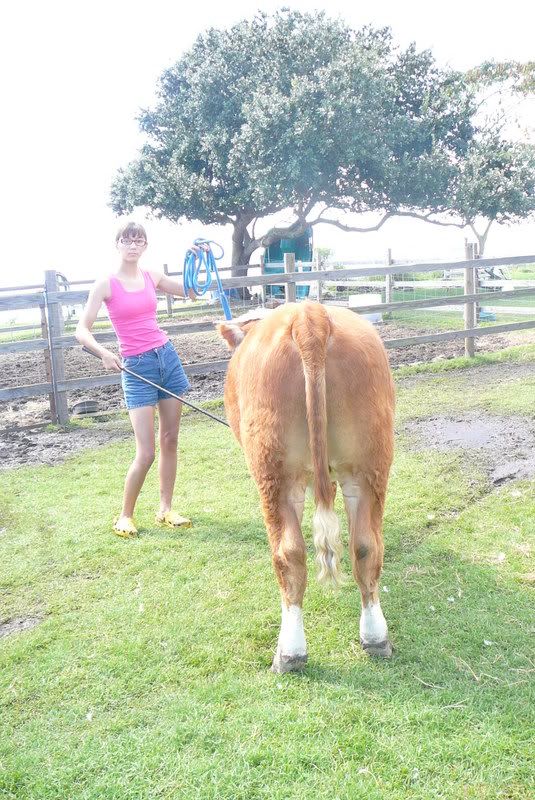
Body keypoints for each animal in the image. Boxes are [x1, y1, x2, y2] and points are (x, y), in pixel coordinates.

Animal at [217, 301, 395, 673]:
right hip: (368, 463)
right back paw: (375, 637)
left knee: (288, 554)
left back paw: (290, 651)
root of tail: (308, 316)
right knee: (366, 546)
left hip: (274, 472)